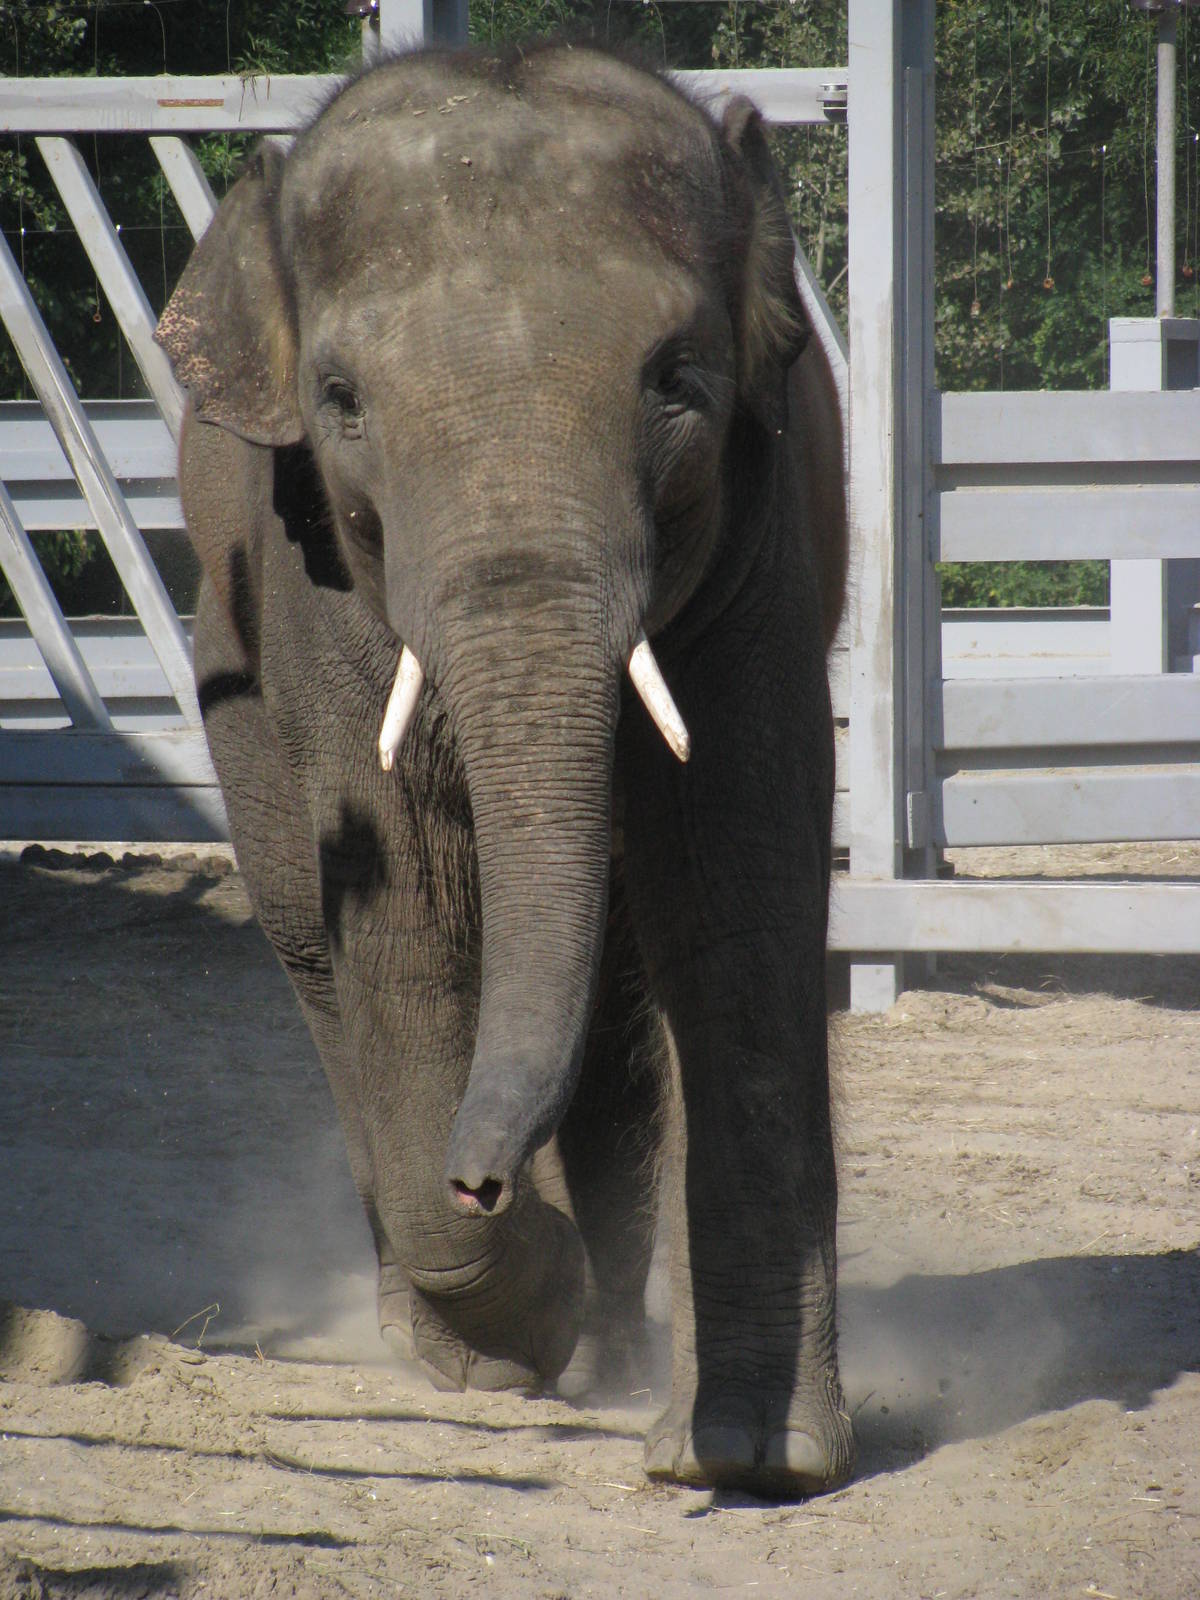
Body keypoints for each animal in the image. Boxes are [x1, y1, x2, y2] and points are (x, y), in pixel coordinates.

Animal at [155, 41, 852, 1498]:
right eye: (343, 404)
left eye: (677, 376)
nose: (482, 1180)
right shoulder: (316, 584)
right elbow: (407, 914)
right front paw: (518, 1324)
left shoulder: (764, 530)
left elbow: (737, 895)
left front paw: (754, 1457)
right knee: (324, 965)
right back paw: (473, 1340)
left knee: (624, 1017)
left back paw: (615, 1352)